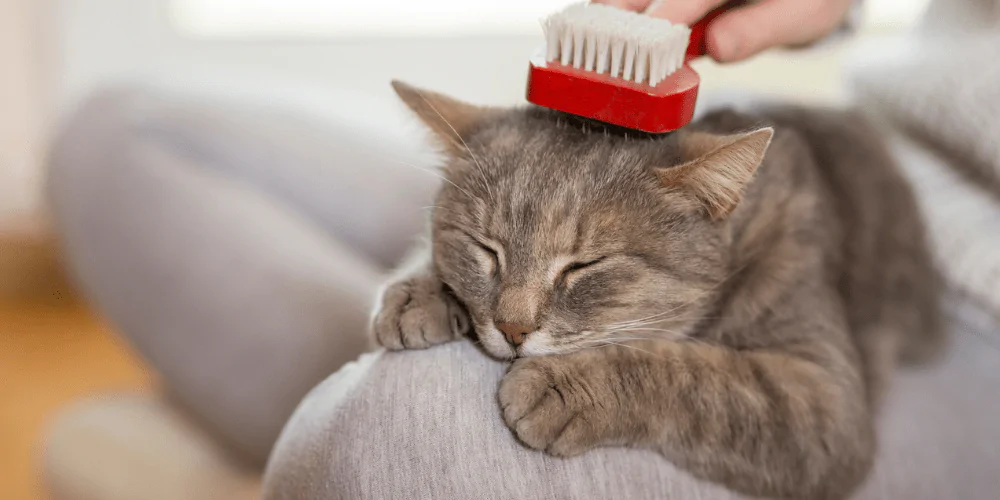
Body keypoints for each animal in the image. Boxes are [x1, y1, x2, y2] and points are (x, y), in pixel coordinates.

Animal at [372, 82, 940, 500]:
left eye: (584, 265)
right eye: (486, 249)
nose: (513, 328)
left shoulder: (822, 402)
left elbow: (694, 376)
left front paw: (566, 386)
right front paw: (421, 293)